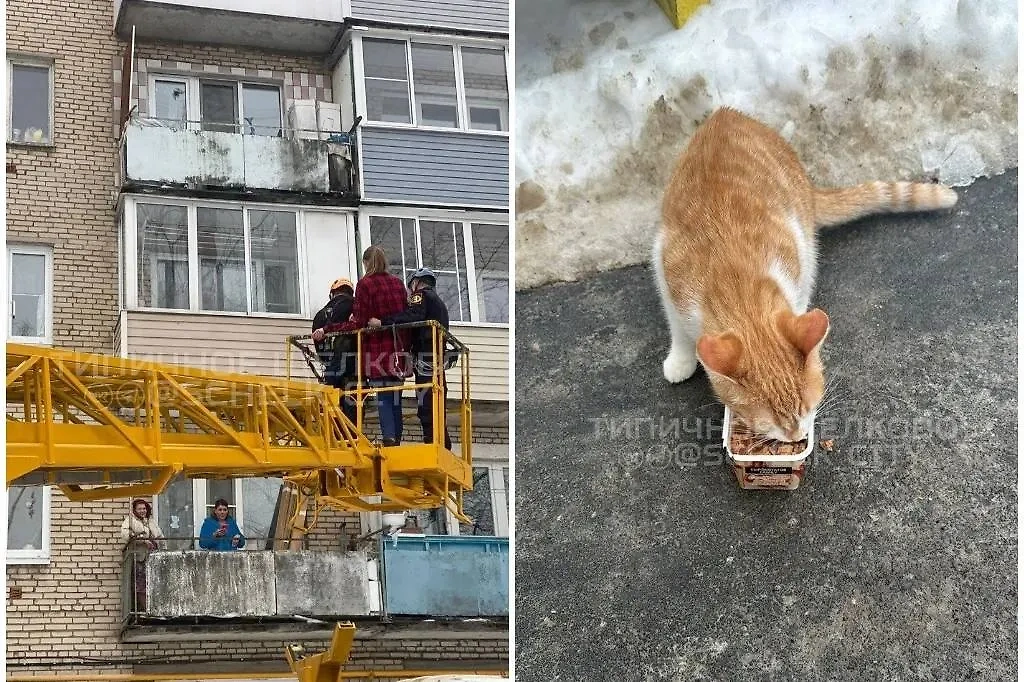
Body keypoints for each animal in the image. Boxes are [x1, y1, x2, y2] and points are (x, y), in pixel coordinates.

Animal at [655, 107, 958, 440]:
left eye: (806, 408)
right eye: (769, 422)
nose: (797, 437)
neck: (734, 280)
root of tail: (727, 113)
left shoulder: (795, 253)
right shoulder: (665, 272)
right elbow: (678, 328)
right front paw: (681, 359)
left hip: (805, 233)